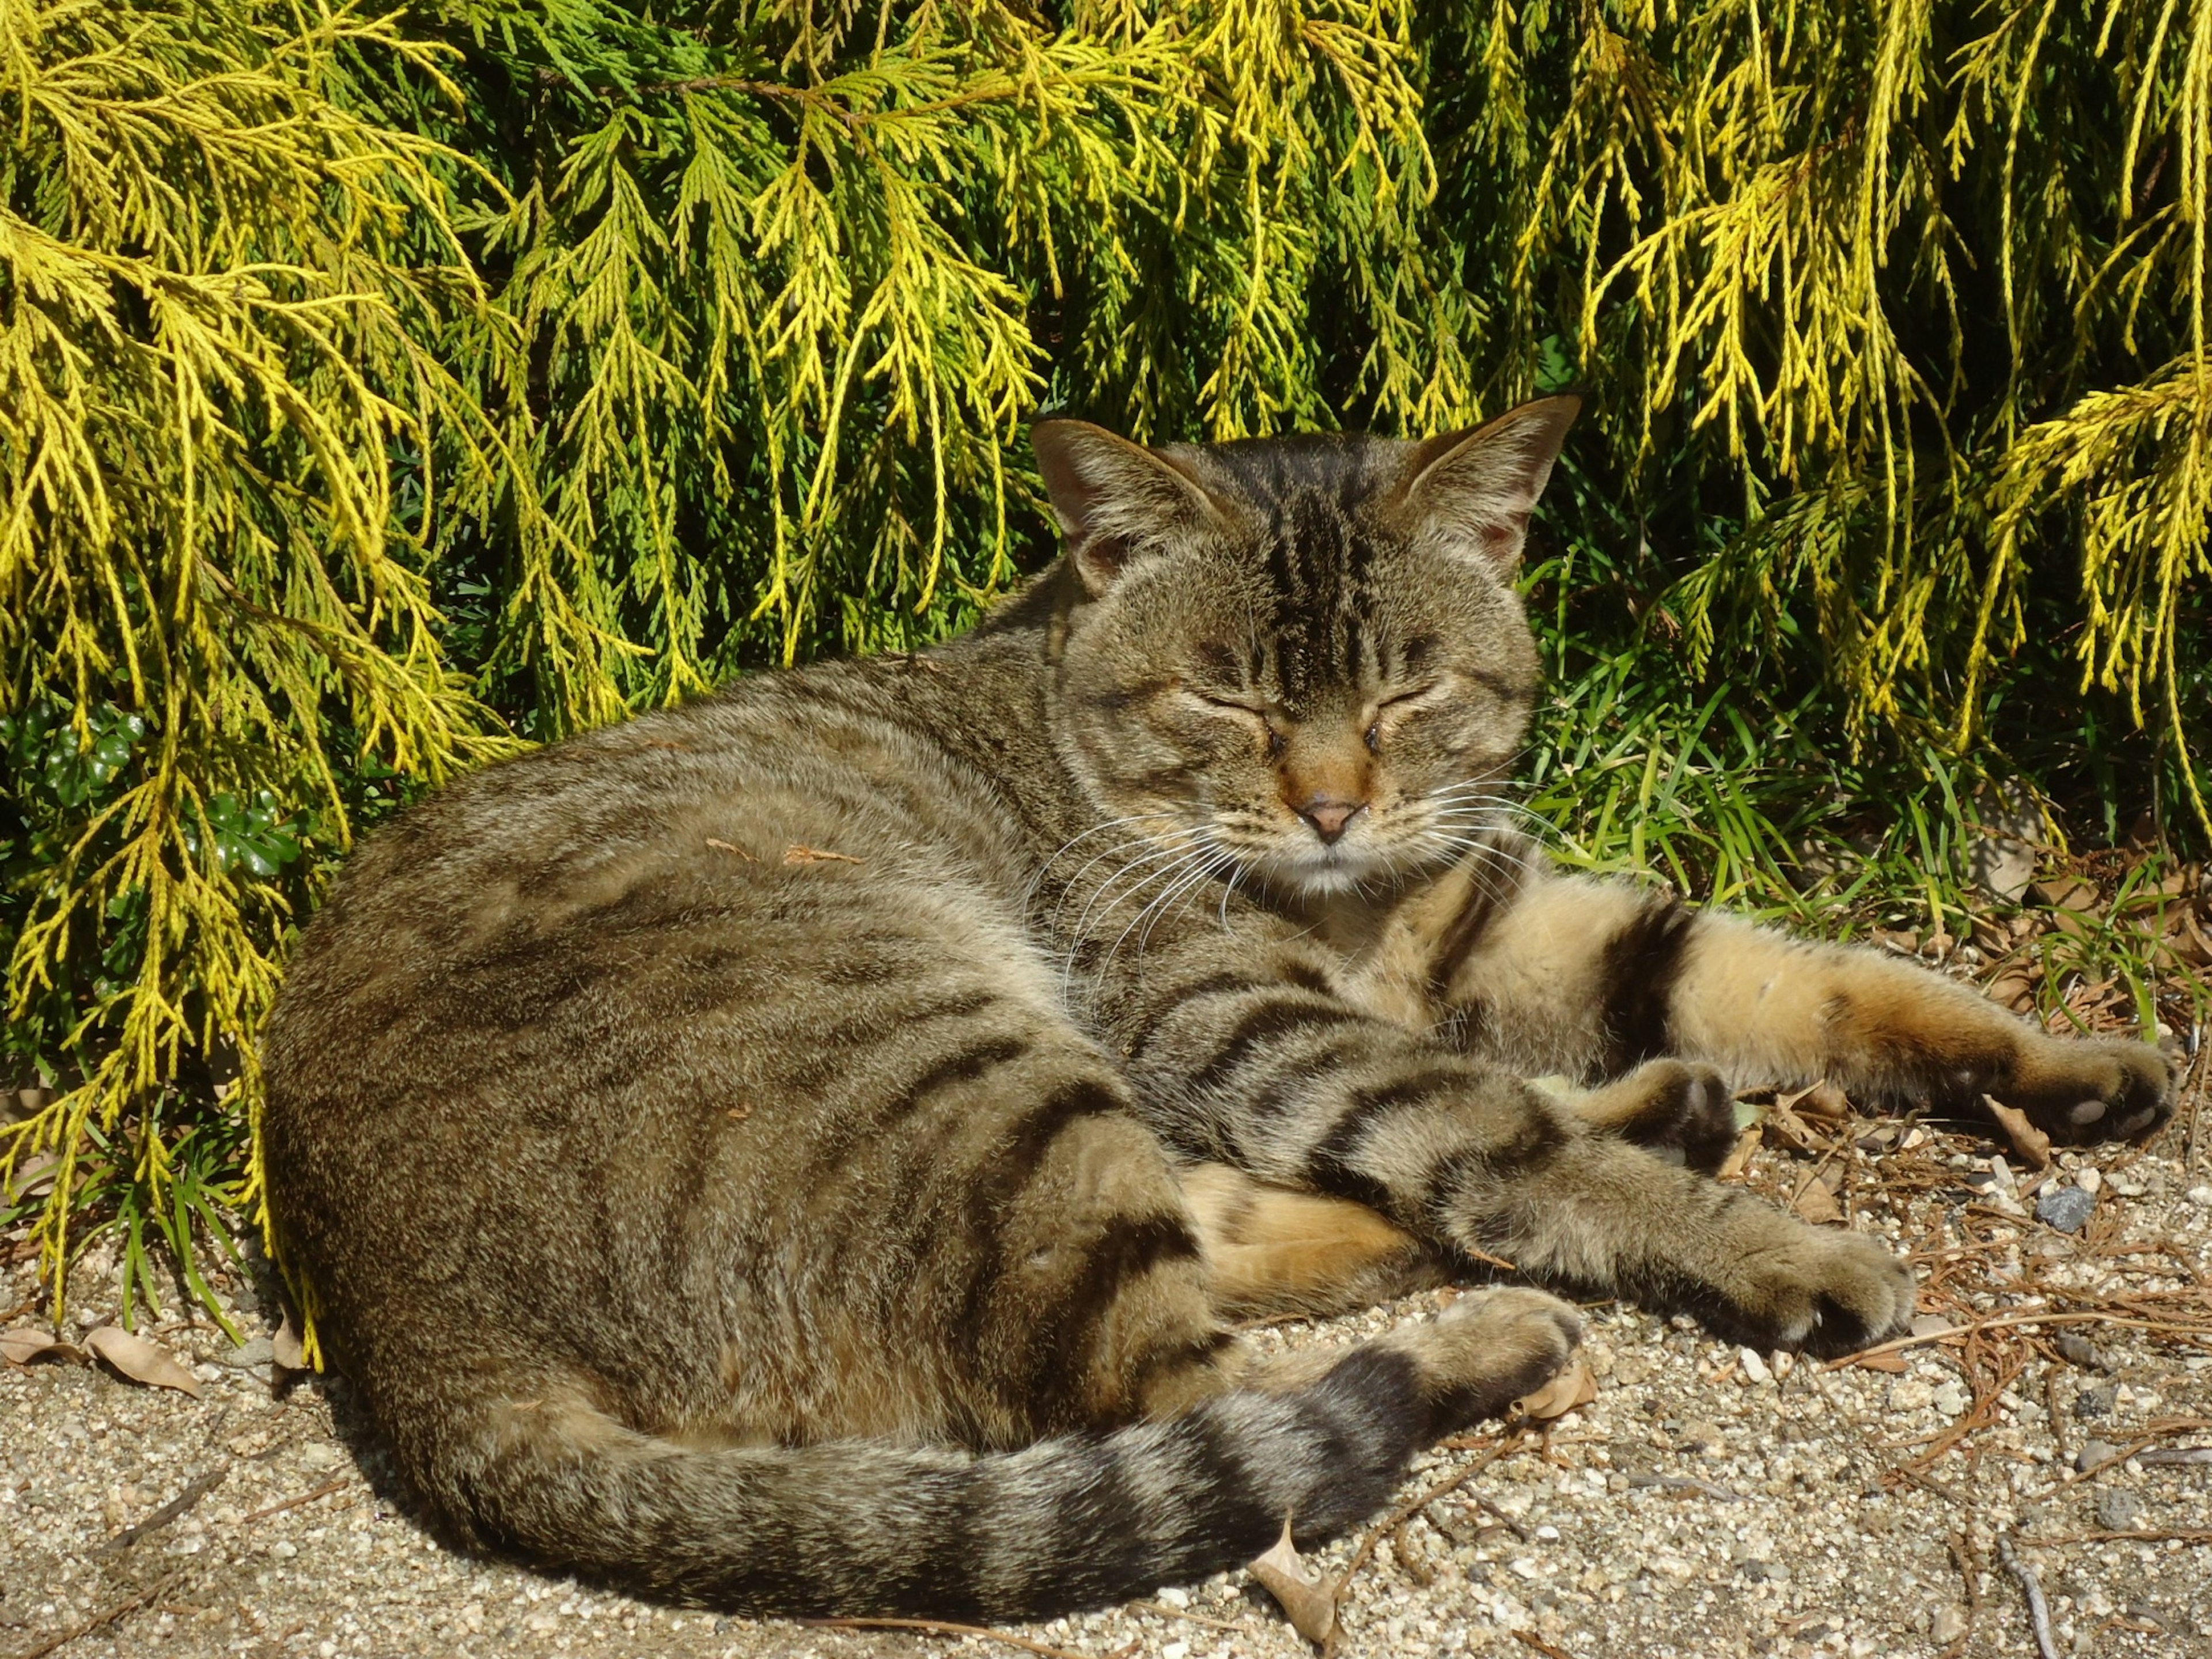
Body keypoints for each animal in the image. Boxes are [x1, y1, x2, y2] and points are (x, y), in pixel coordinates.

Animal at [263, 400, 2176, 1628]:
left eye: (1403, 693)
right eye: (1229, 701)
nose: (1328, 805)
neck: (1348, 910)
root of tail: (402, 1331)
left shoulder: (1499, 918)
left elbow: (1806, 976)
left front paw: (2058, 1067)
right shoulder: (1230, 1011)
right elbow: (1494, 1134)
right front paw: (1771, 1246)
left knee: (1248, 1255)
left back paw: (1654, 1119)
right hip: (953, 1057)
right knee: (1192, 1397)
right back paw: (1504, 1324)